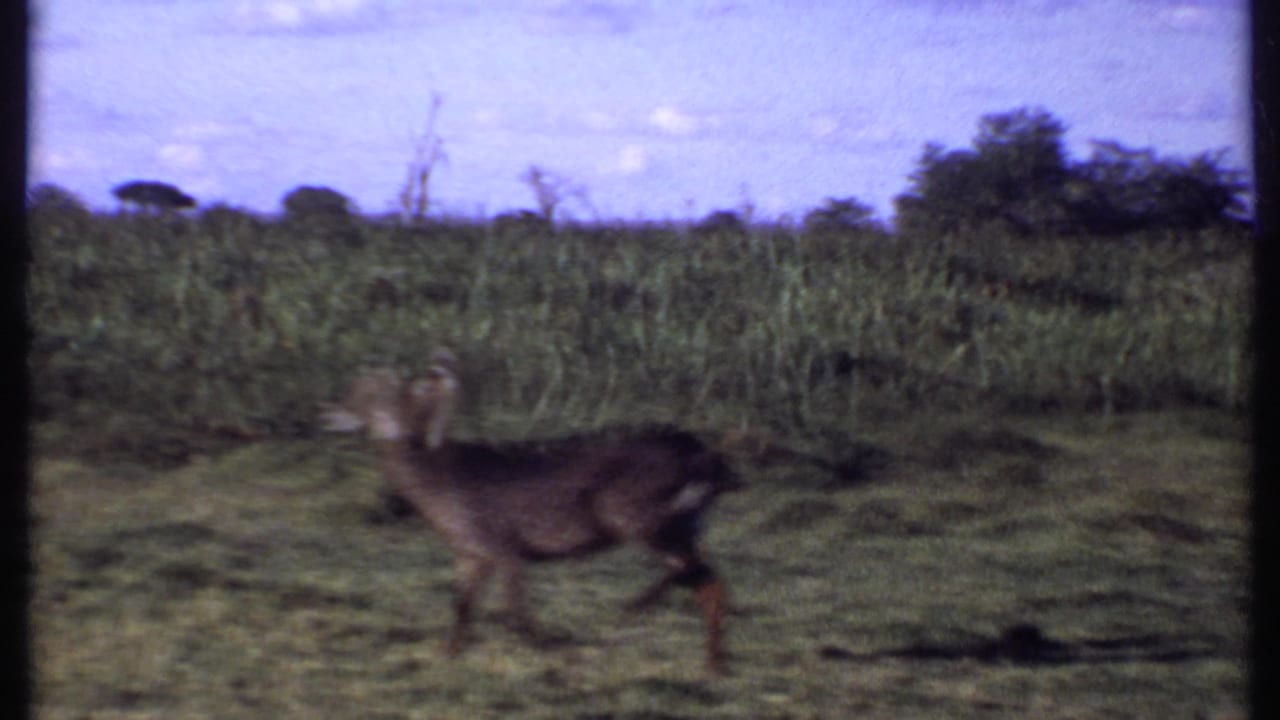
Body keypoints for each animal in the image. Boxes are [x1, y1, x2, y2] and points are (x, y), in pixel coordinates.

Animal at [322, 350, 743, 673]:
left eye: (372, 392)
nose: (330, 414)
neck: (439, 483)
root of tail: (711, 459)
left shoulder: (503, 545)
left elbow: (515, 612)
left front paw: (552, 649)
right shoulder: (469, 554)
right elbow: (462, 607)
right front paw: (448, 655)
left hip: (636, 517)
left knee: (691, 571)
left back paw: (636, 610)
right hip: (684, 522)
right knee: (710, 582)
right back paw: (712, 664)